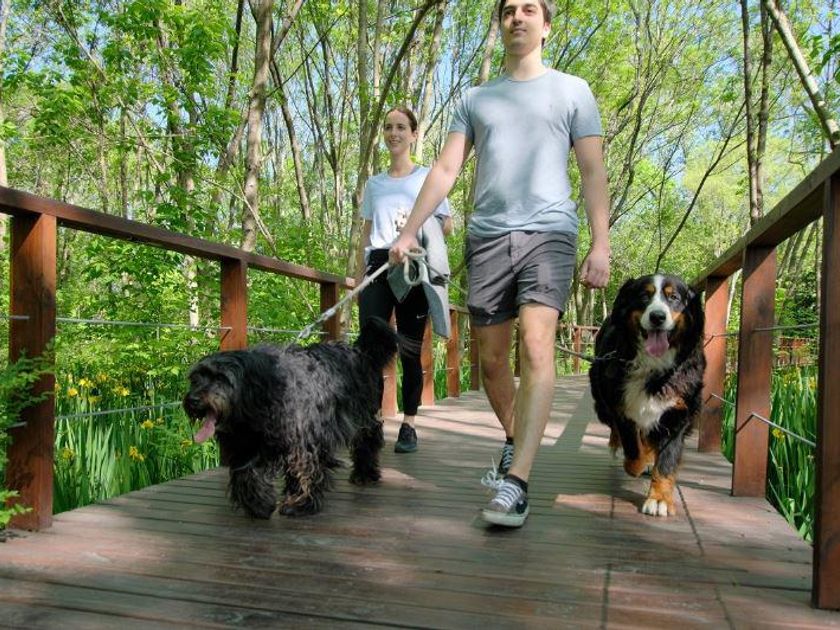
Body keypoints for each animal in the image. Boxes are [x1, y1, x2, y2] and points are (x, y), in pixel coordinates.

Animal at [183, 317, 398, 519]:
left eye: (221, 378)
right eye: (195, 379)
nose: (193, 400)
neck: (265, 389)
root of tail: (360, 352)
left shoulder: (303, 441)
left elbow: (305, 471)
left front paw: (299, 504)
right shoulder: (248, 441)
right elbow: (244, 473)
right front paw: (258, 503)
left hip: (365, 415)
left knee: (367, 440)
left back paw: (365, 474)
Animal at [589, 274, 705, 517]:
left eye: (674, 297)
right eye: (644, 295)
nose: (657, 316)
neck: (654, 369)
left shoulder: (678, 414)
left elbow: (667, 460)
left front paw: (659, 498)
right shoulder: (620, 408)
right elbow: (633, 451)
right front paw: (636, 464)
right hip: (601, 402)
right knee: (616, 430)